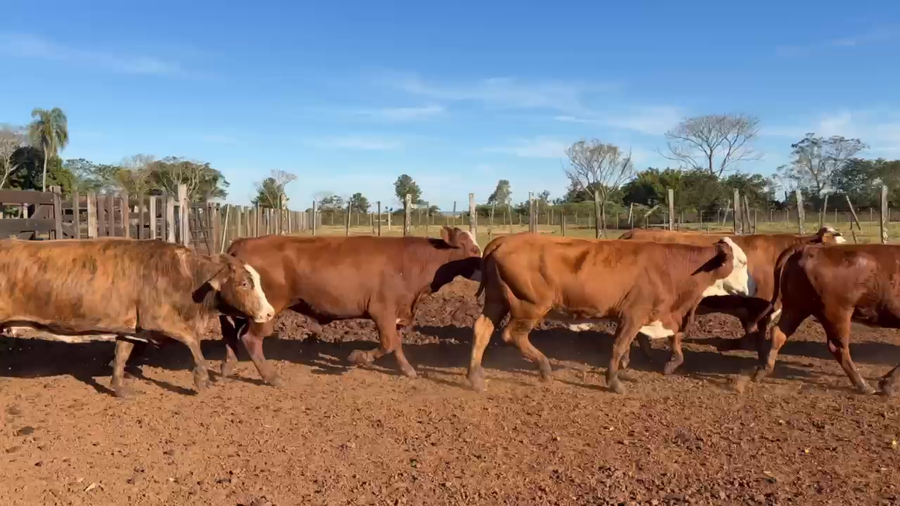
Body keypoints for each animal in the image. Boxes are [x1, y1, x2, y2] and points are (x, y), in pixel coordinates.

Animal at [0, 237, 275, 397]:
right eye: (243, 283)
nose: (270, 312)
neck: (183, 275)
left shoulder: (131, 327)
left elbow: (121, 355)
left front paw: (120, 388)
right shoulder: (158, 320)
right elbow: (192, 340)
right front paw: (202, 379)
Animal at [219, 226, 482, 385]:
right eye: (473, 249)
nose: (483, 264)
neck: (412, 262)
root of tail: (241, 243)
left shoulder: (396, 313)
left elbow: (396, 344)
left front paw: (407, 370)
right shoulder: (382, 310)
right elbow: (388, 343)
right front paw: (358, 357)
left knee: (230, 331)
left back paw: (227, 365)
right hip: (265, 311)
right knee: (251, 340)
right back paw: (271, 377)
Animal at [467, 233, 753, 394]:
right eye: (741, 262)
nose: (749, 288)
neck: (671, 268)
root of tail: (503, 240)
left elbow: (669, 340)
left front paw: (666, 363)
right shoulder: (634, 314)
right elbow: (619, 345)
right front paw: (614, 381)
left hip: (496, 300)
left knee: (482, 330)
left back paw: (475, 376)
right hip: (530, 306)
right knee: (512, 335)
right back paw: (545, 368)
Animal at [747, 243, 900, 396]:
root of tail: (805, 248)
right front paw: (887, 384)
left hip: (796, 308)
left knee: (778, 333)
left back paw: (763, 370)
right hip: (837, 314)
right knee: (838, 347)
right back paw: (863, 385)